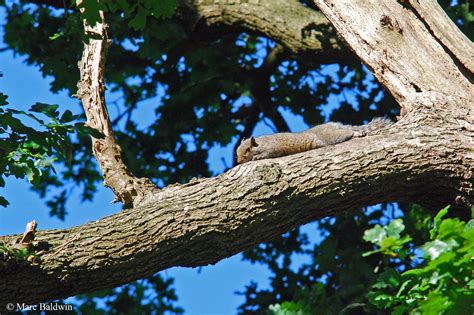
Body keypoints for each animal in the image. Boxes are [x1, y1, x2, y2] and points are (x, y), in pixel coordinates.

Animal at [237, 117, 392, 164]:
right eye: (236, 152)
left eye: (248, 149)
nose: (238, 161)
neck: (261, 142)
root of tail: (334, 125)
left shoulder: (274, 146)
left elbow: (271, 152)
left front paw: (259, 156)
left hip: (330, 136)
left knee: (347, 133)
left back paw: (356, 132)